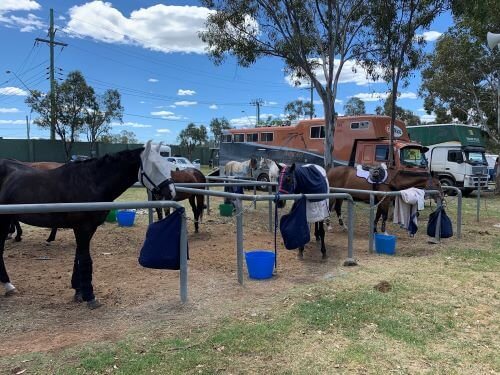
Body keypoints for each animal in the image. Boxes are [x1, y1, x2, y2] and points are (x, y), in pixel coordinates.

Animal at [0, 142, 176, 310]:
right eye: (154, 166)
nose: (171, 192)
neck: (91, 182)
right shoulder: (83, 228)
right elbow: (85, 259)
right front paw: (90, 296)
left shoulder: (87, 229)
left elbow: (78, 257)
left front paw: (78, 291)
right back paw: (8, 285)